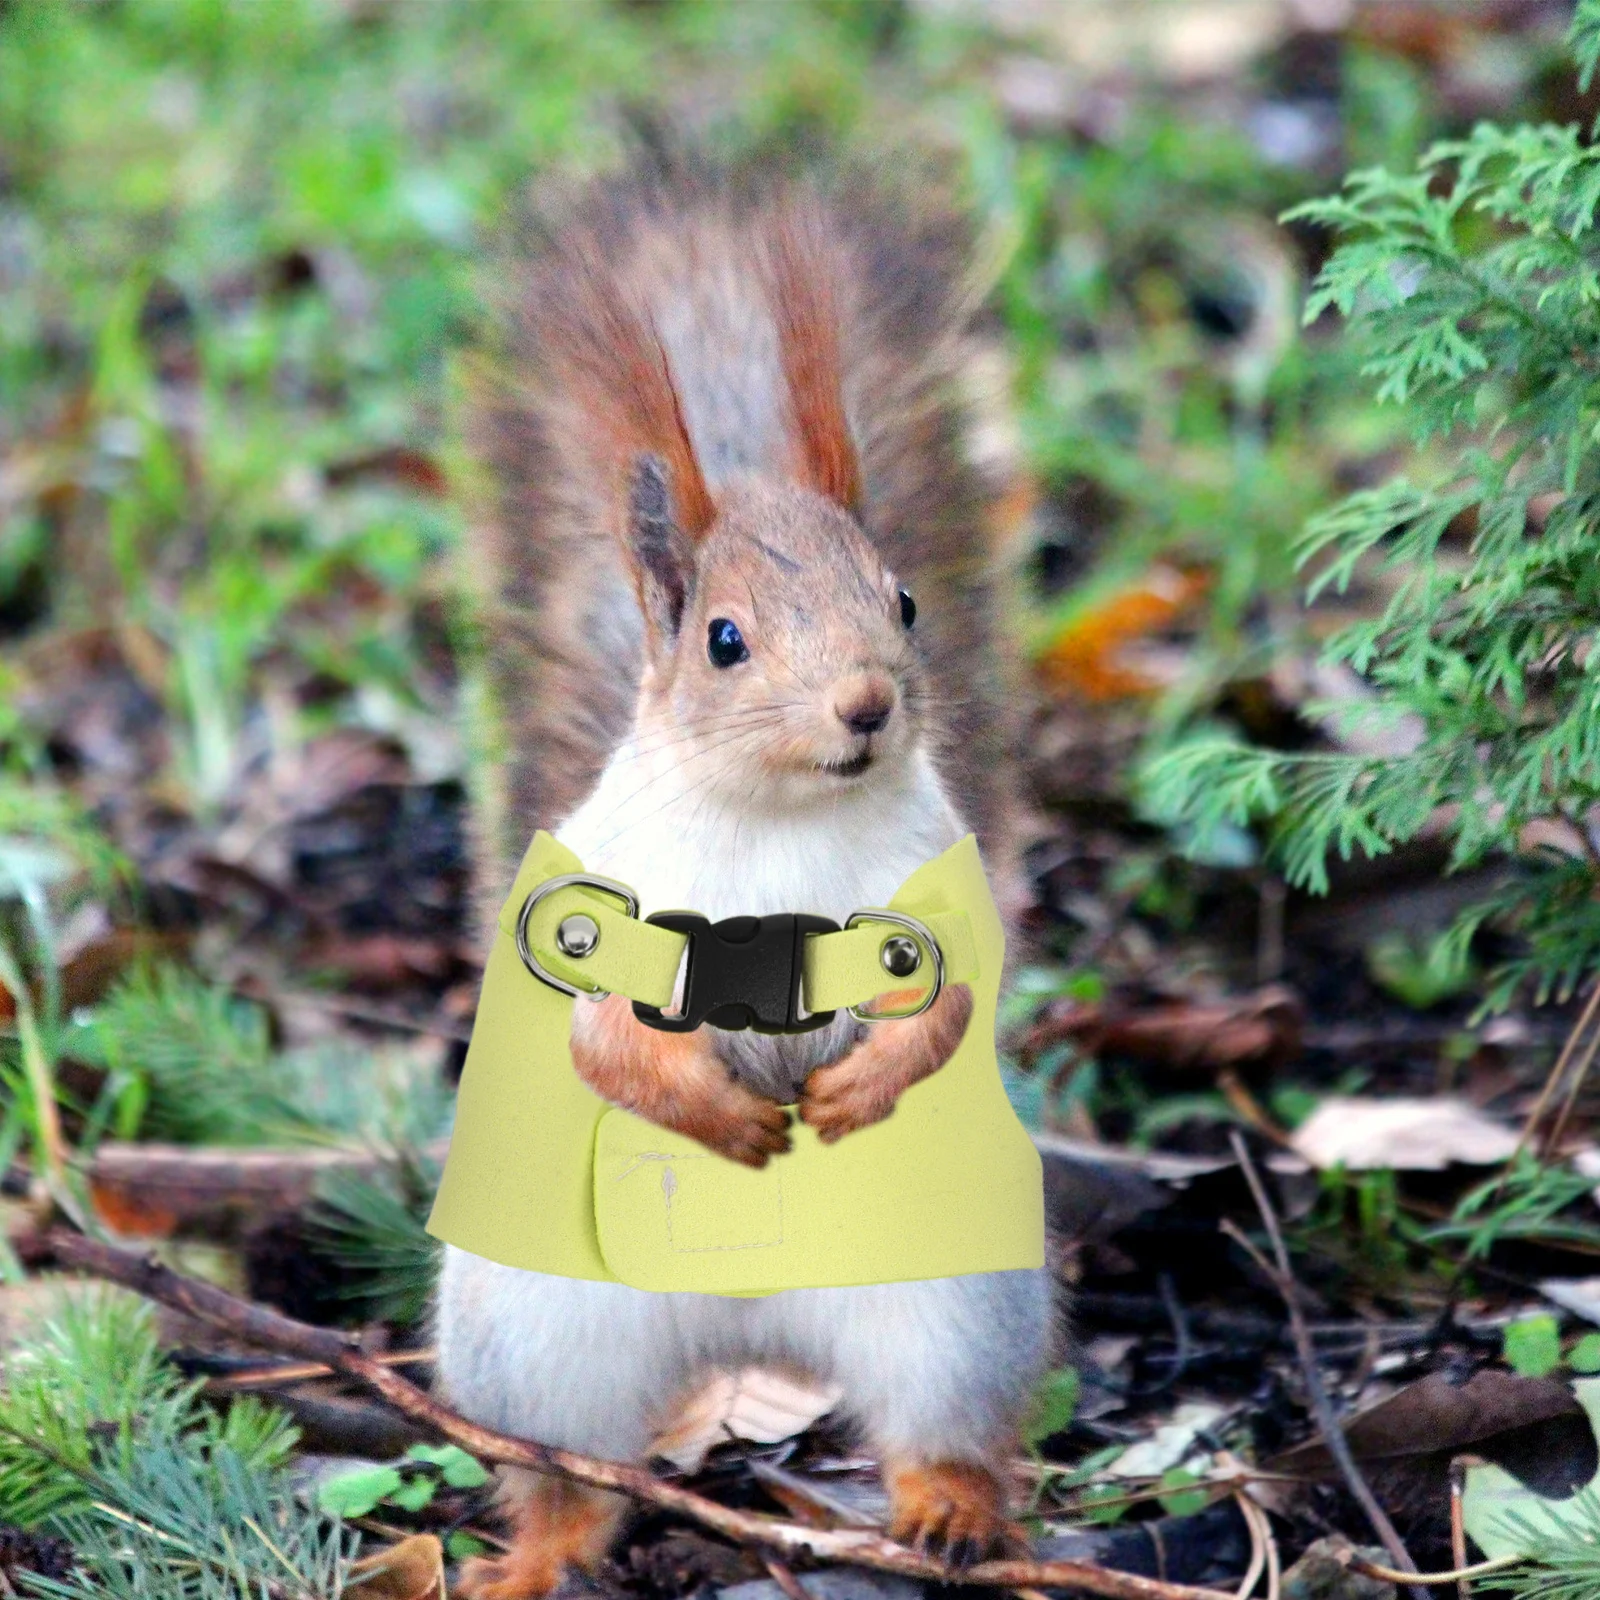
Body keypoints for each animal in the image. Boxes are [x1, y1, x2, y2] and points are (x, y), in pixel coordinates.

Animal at [437, 160, 1054, 1600]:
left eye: (903, 603)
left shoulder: (937, 900)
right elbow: (605, 1041)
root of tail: (748, 1332)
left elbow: (948, 1009)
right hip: (531, 1335)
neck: (777, 820)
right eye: (725, 641)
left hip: (955, 1312)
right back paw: (542, 1553)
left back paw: (950, 1512)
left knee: (937, 1429)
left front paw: (854, 1090)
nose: (869, 705)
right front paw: (721, 1117)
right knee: (563, 1472)